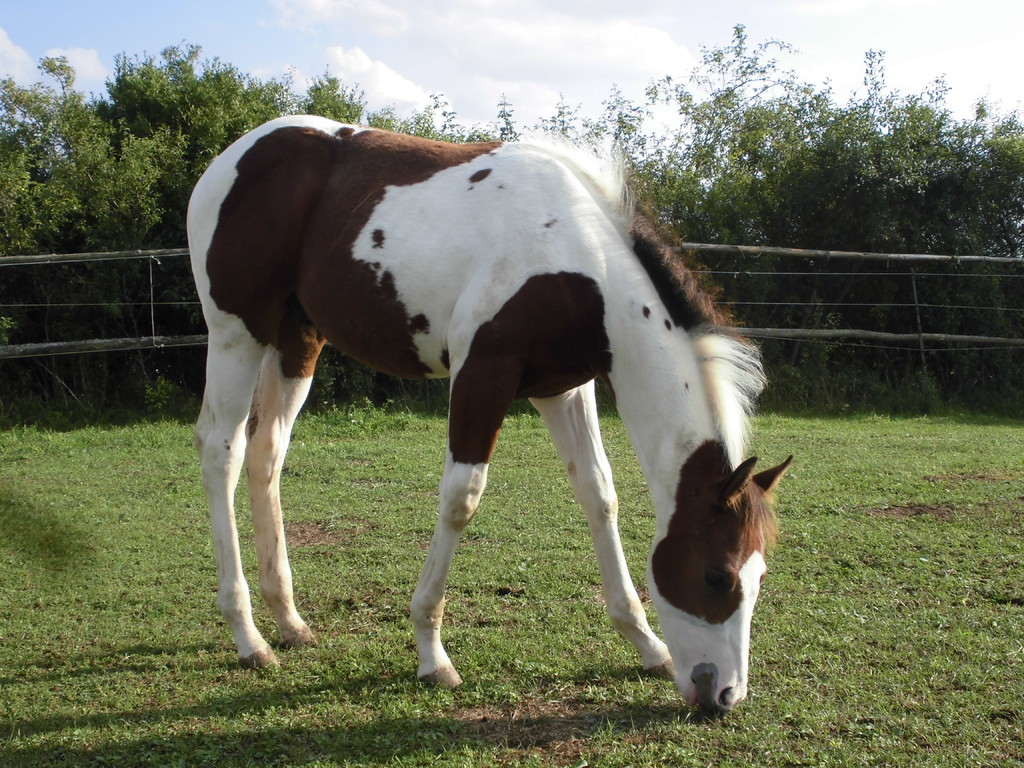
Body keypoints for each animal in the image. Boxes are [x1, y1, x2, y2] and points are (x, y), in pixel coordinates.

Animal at [187, 114, 792, 713]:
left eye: (760, 575)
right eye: (717, 577)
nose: (724, 695)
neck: (577, 256)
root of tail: (235, 155)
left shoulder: (564, 389)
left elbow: (599, 493)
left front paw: (646, 643)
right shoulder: (482, 374)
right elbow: (462, 497)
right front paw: (431, 653)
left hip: (297, 340)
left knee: (267, 454)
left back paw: (289, 620)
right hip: (237, 332)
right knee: (222, 451)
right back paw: (249, 637)